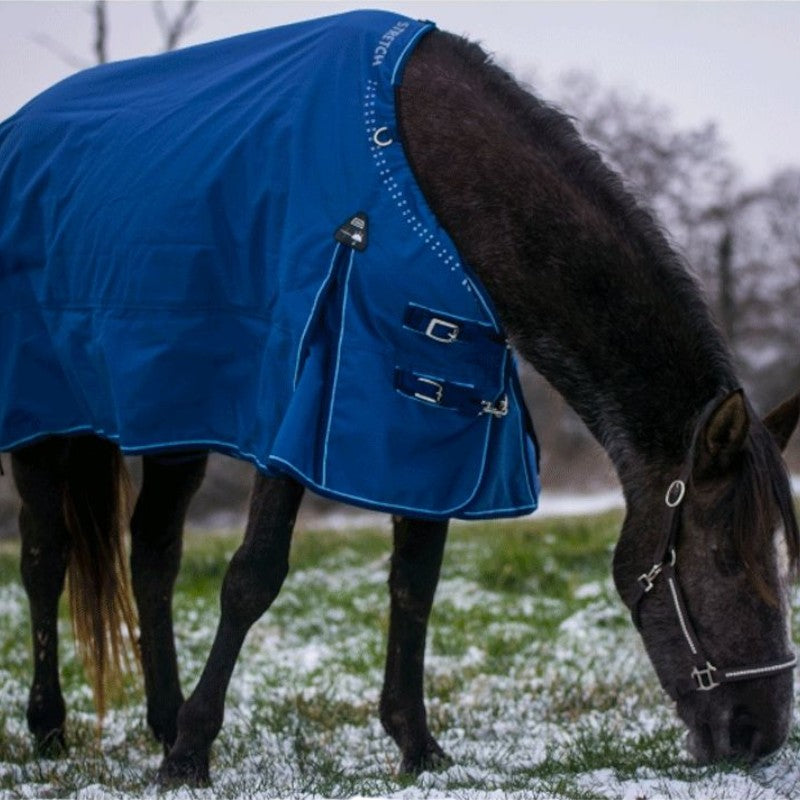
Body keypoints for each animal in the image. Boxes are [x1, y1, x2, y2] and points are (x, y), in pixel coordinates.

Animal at [0, 7, 796, 788]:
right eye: (728, 560)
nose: (759, 735)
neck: (426, 184)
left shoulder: (434, 430)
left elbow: (414, 586)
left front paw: (416, 746)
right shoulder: (297, 418)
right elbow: (252, 579)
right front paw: (193, 753)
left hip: (175, 422)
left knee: (153, 555)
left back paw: (160, 720)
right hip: (43, 427)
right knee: (45, 556)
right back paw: (52, 730)